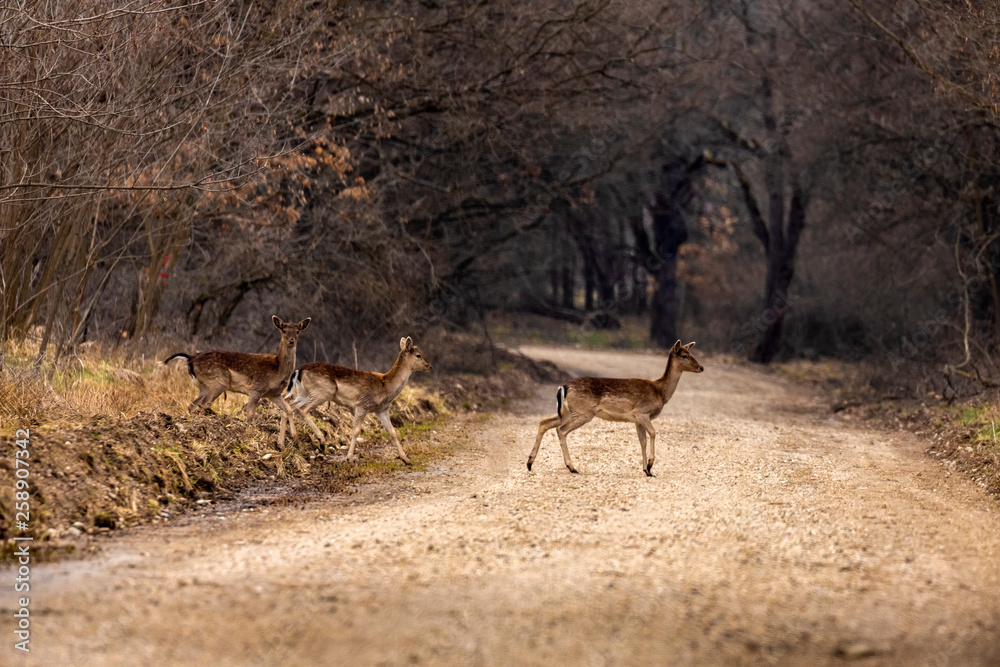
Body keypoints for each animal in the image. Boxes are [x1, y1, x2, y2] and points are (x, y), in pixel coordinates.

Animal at [163, 316, 311, 447]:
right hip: (218, 383)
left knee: (192, 405)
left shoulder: (273, 394)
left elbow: (288, 409)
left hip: (204, 387)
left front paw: (292, 439)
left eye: (297, 331)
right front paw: (249, 435)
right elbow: (250, 415)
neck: (278, 369)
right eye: (284, 330)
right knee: (203, 404)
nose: (291, 340)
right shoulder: (256, 389)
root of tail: (190, 359)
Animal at [283, 336, 432, 464]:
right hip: (323, 391)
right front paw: (349, 457)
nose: (429, 366)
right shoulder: (362, 404)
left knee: (289, 406)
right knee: (302, 409)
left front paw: (406, 459)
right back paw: (321, 440)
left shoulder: (382, 409)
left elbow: (392, 432)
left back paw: (287, 441)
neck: (385, 387)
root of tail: (298, 370)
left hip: (303, 393)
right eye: (418, 355)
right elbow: (355, 431)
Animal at [527, 340, 703, 476]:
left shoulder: (637, 420)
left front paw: (647, 470)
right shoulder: (641, 413)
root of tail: (563, 387)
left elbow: (642, 441)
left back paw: (529, 463)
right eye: (684, 355)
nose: (701, 367)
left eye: (691, 353)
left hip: (567, 412)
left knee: (544, 422)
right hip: (583, 412)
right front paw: (650, 465)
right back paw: (572, 467)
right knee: (561, 430)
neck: (660, 391)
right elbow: (653, 433)